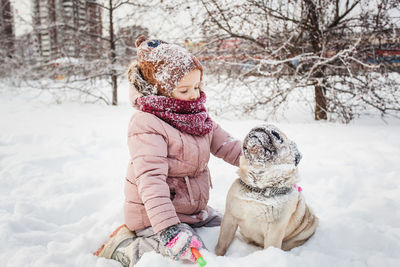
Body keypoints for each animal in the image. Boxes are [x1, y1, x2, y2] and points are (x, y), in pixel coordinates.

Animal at [216, 124, 318, 256]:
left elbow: (270, 247)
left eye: (277, 135)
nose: (259, 129)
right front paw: (217, 255)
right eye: (254, 127)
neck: (258, 188)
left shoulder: (274, 230)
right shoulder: (230, 218)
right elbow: (222, 242)